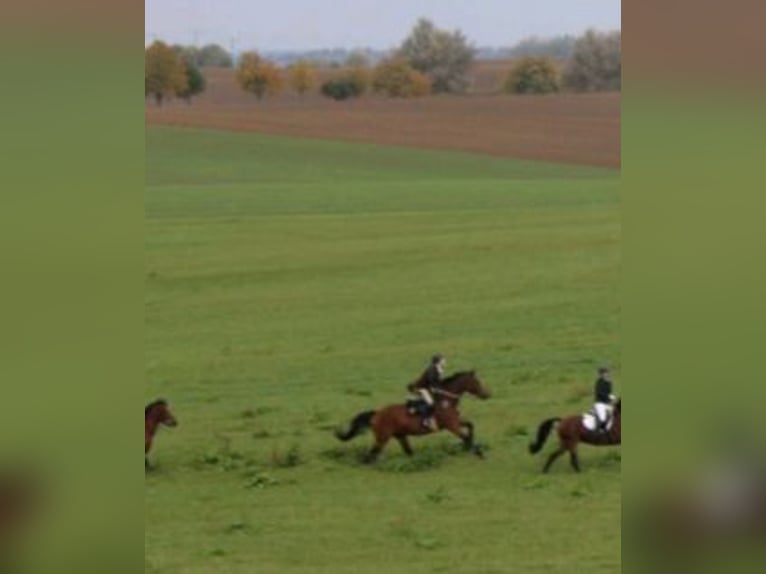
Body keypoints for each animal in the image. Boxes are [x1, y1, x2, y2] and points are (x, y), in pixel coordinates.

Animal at [336, 374, 492, 464]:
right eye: (477, 382)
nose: (486, 395)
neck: (446, 400)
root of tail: (376, 413)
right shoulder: (451, 426)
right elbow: (465, 436)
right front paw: (479, 453)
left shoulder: (456, 422)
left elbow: (470, 426)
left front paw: (470, 447)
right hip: (382, 438)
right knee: (370, 455)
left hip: (400, 436)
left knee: (407, 452)